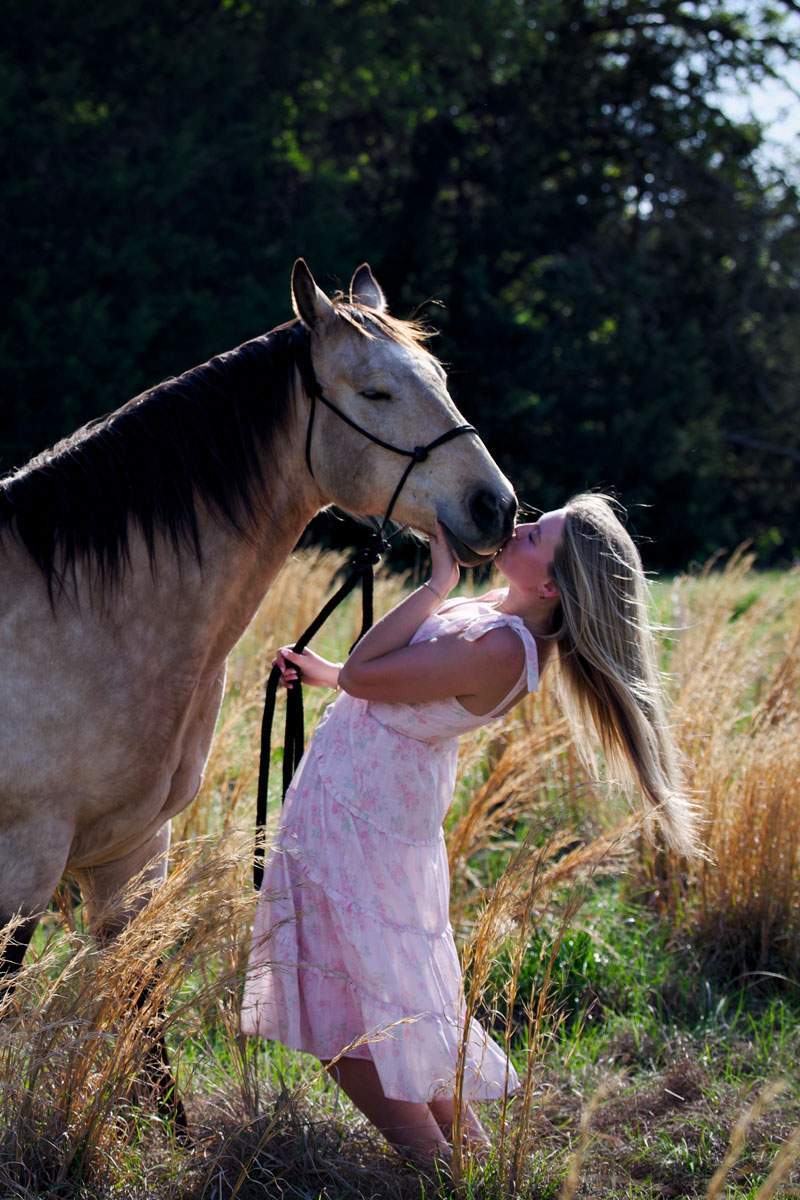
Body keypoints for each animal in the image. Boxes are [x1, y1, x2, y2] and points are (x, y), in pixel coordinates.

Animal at [0, 258, 515, 1002]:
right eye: (376, 391)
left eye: (441, 379)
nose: (495, 507)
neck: (78, 613)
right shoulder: (23, 864)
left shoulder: (134, 855)